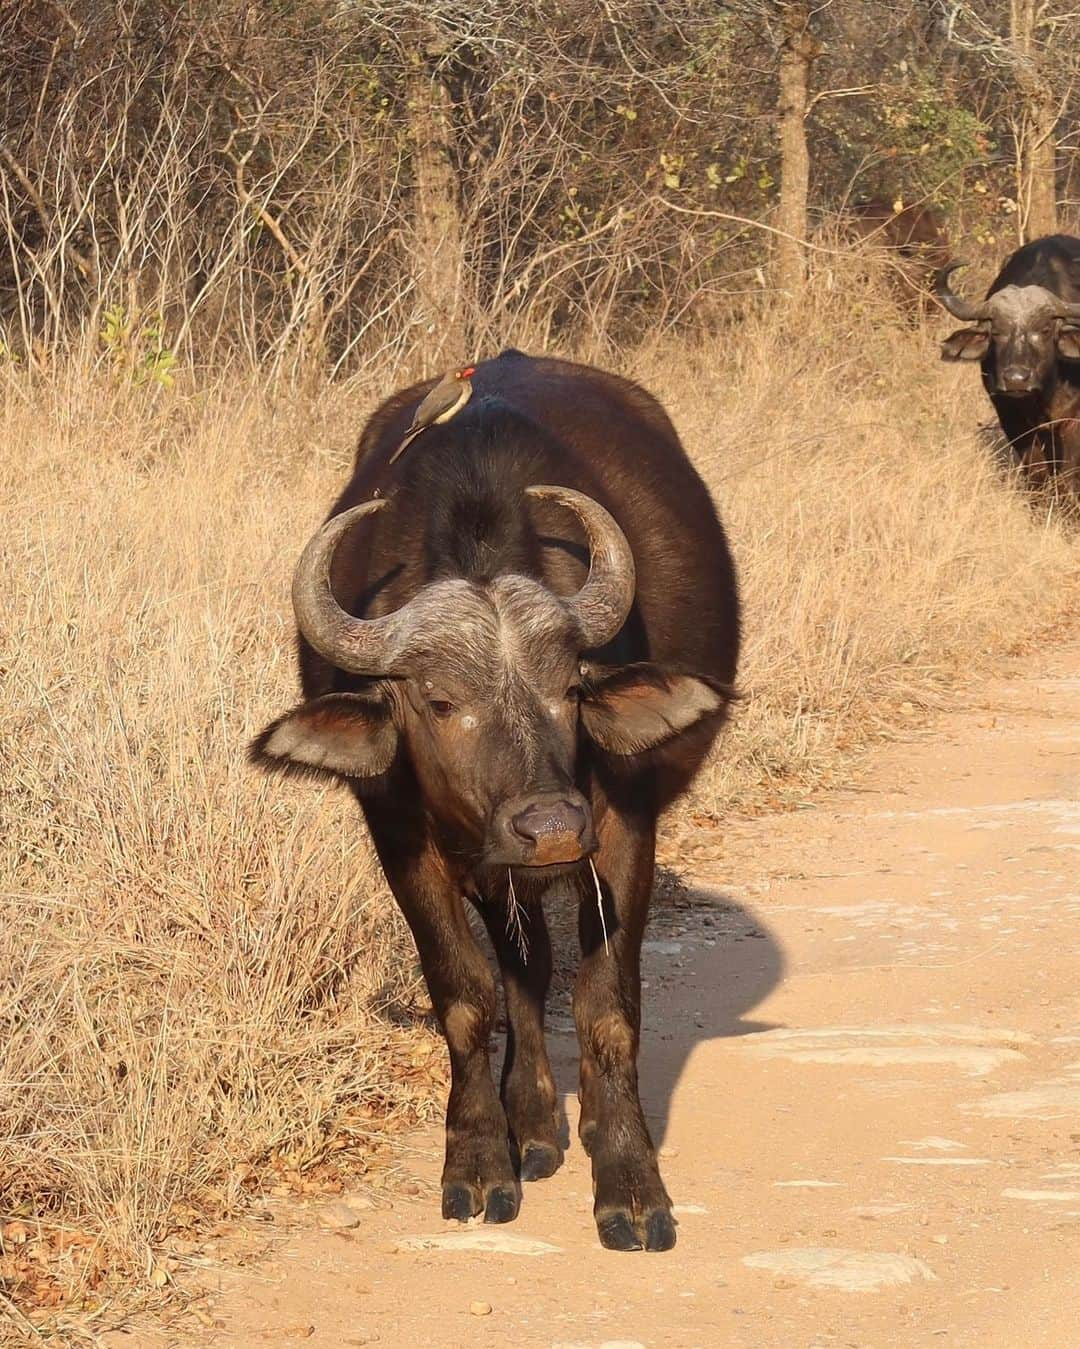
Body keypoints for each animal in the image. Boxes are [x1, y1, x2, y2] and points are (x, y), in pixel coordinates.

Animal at [250, 350, 744, 1251]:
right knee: (522, 966)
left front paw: (629, 1181)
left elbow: (605, 1005)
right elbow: (467, 997)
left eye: (570, 689)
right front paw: (480, 1161)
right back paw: (535, 1122)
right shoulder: (402, 837)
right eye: (440, 701)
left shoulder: (621, 829)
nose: (549, 828)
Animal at [933, 234, 1078, 493]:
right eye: (997, 332)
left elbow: (1068, 477)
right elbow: (1036, 473)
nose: (1016, 380)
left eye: (1045, 329)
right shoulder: (1011, 419)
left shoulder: (1071, 422)